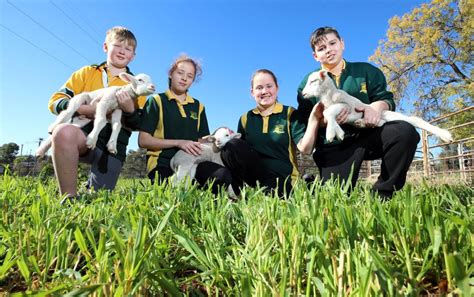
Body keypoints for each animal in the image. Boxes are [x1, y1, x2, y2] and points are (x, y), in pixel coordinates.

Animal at [302, 70, 454, 143]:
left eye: (313, 81)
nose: (302, 93)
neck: (330, 95)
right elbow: (328, 114)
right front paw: (337, 132)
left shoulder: (349, 107)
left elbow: (329, 113)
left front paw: (332, 133)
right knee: (380, 123)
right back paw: (362, 123)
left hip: (391, 114)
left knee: (415, 120)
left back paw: (445, 135)